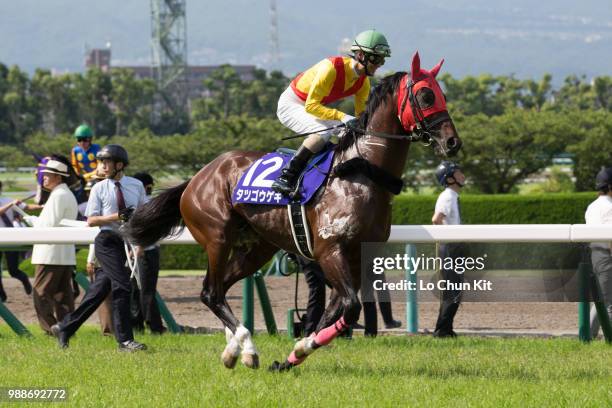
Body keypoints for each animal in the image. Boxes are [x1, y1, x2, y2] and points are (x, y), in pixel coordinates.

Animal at [123, 52, 460, 372]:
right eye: (426, 96)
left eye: (441, 94)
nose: (452, 142)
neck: (361, 173)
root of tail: (196, 178)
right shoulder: (330, 250)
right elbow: (350, 307)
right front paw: (295, 350)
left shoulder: (359, 254)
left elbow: (337, 312)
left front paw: (293, 355)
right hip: (217, 238)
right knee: (211, 293)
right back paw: (248, 348)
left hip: (257, 247)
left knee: (221, 288)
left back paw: (233, 351)